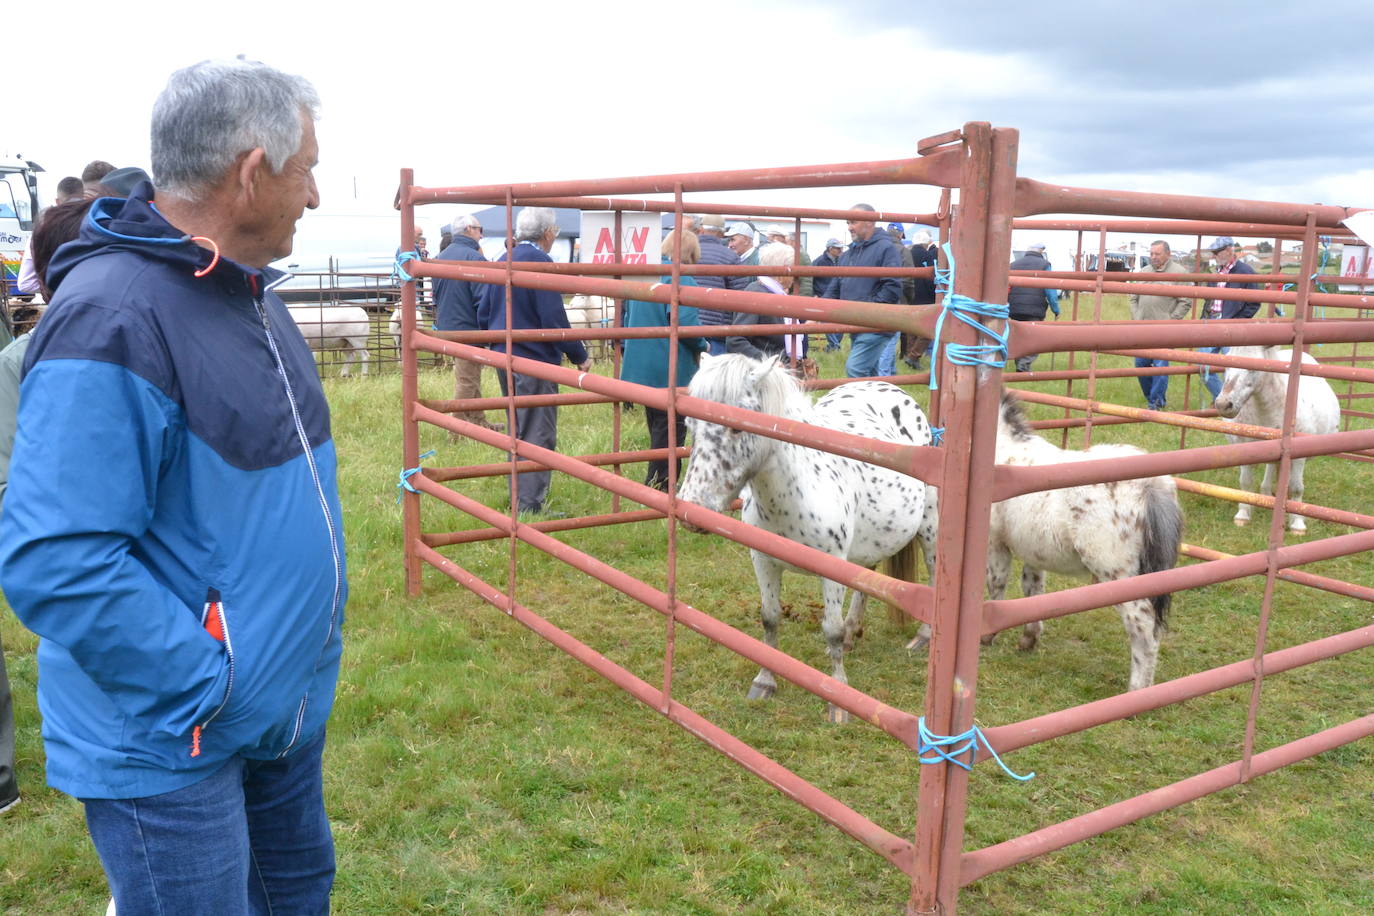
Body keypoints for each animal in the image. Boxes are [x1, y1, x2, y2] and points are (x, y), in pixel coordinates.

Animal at [678, 354, 939, 719]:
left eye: (737, 426)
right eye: (690, 424)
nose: (692, 507)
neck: (797, 491)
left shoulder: (832, 565)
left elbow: (831, 629)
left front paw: (839, 698)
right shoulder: (763, 560)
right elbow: (770, 618)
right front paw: (765, 681)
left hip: (929, 526)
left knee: (932, 576)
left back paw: (922, 637)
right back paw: (854, 632)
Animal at [912, 390, 1181, 692]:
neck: (1001, 451)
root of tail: (1151, 486)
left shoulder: (995, 544)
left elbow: (997, 585)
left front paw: (987, 636)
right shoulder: (1034, 551)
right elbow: (1032, 590)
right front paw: (1028, 638)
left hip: (1119, 574)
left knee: (1143, 628)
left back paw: (1137, 689)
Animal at [1220, 346, 1335, 532]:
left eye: (1253, 367)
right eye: (1227, 363)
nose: (1223, 404)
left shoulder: (1299, 456)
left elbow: (1296, 488)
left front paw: (1297, 523)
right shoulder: (1243, 447)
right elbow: (1245, 482)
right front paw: (1243, 515)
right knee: (1271, 467)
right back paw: (1266, 494)